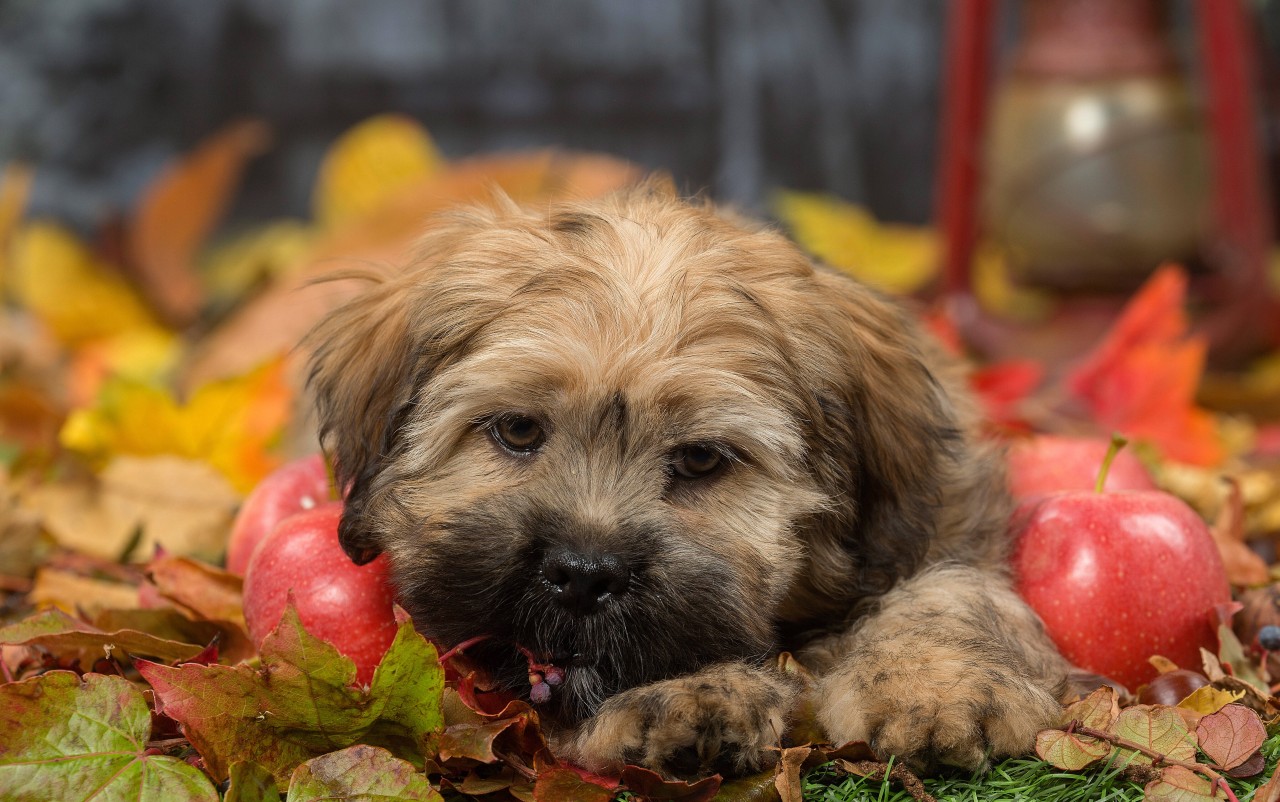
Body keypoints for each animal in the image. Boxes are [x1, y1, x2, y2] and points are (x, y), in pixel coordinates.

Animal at [307, 181, 1070, 777]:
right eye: (517, 430)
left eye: (702, 460)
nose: (583, 575)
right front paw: (688, 697)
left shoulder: (942, 521)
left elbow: (948, 589)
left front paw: (940, 687)